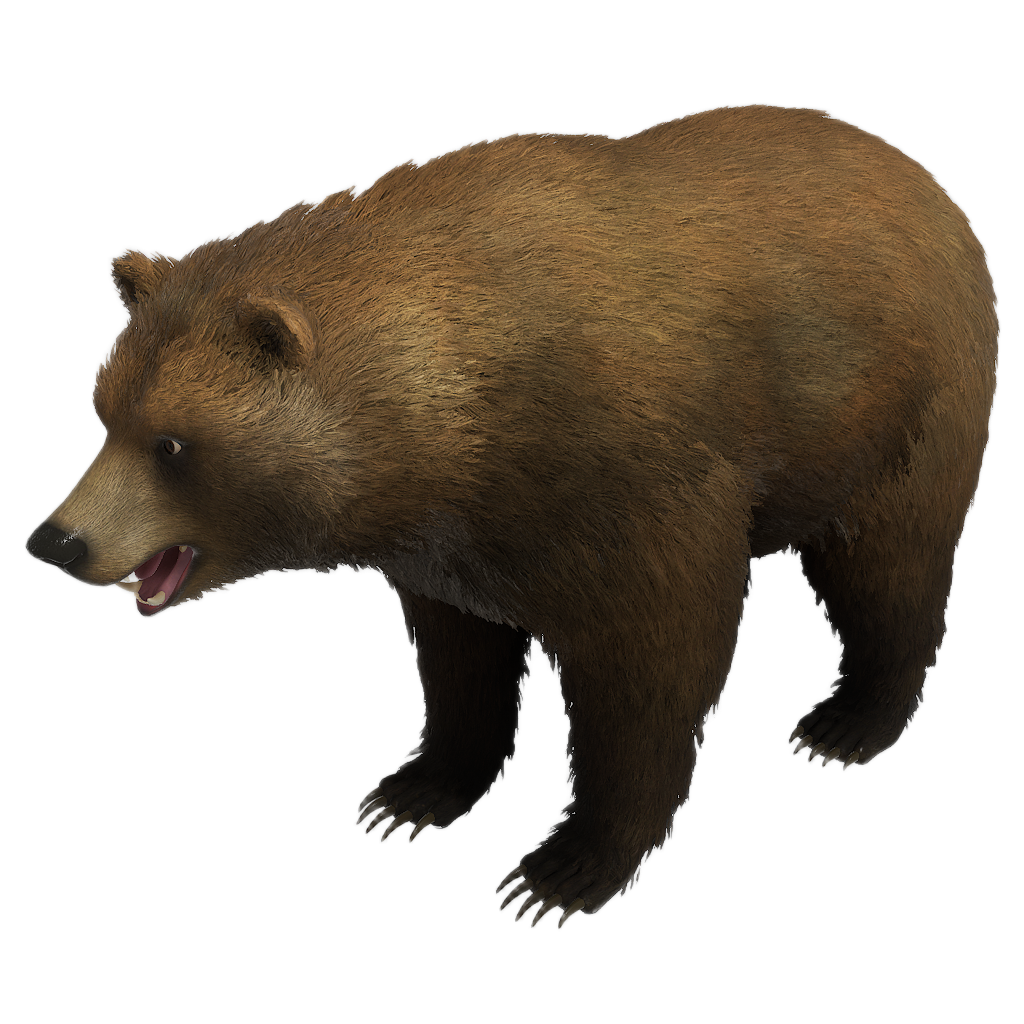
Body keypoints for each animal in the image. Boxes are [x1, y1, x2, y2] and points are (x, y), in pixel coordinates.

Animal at [24, 103, 999, 930]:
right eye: (104, 410)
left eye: (173, 443)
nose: (56, 539)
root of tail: (926, 182)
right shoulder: (450, 550)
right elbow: (460, 664)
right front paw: (413, 793)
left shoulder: (639, 495)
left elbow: (651, 678)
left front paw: (560, 872)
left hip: (896, 419)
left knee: (891, 568)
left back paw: (848, 723)